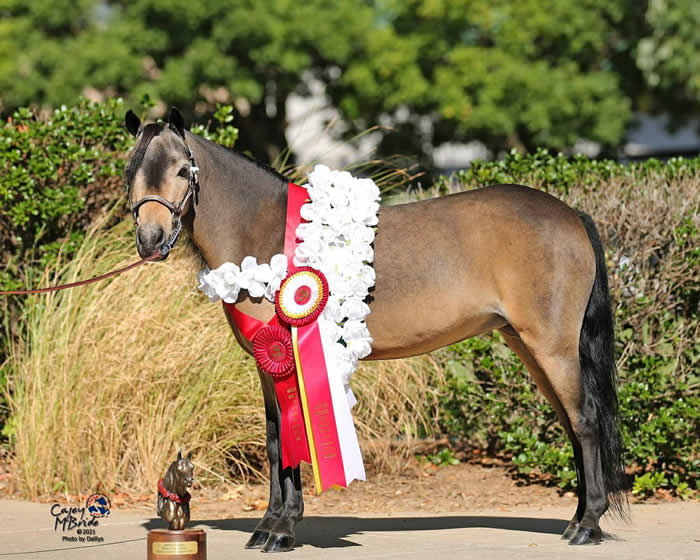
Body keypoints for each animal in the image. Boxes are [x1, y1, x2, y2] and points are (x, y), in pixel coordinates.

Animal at [124, 107, 627, 552]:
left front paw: (282, 531)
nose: (150, 240)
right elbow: (275, 441)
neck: (262, 233)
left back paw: (588, 525)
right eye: (131, 170)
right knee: (571, 424)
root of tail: (570, 215)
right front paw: (269, 525)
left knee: (584, 421)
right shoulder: (268, 366)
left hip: (552, 347)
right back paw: (578, 519)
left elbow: (290, 442)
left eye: (182, 170)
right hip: (527, 345)